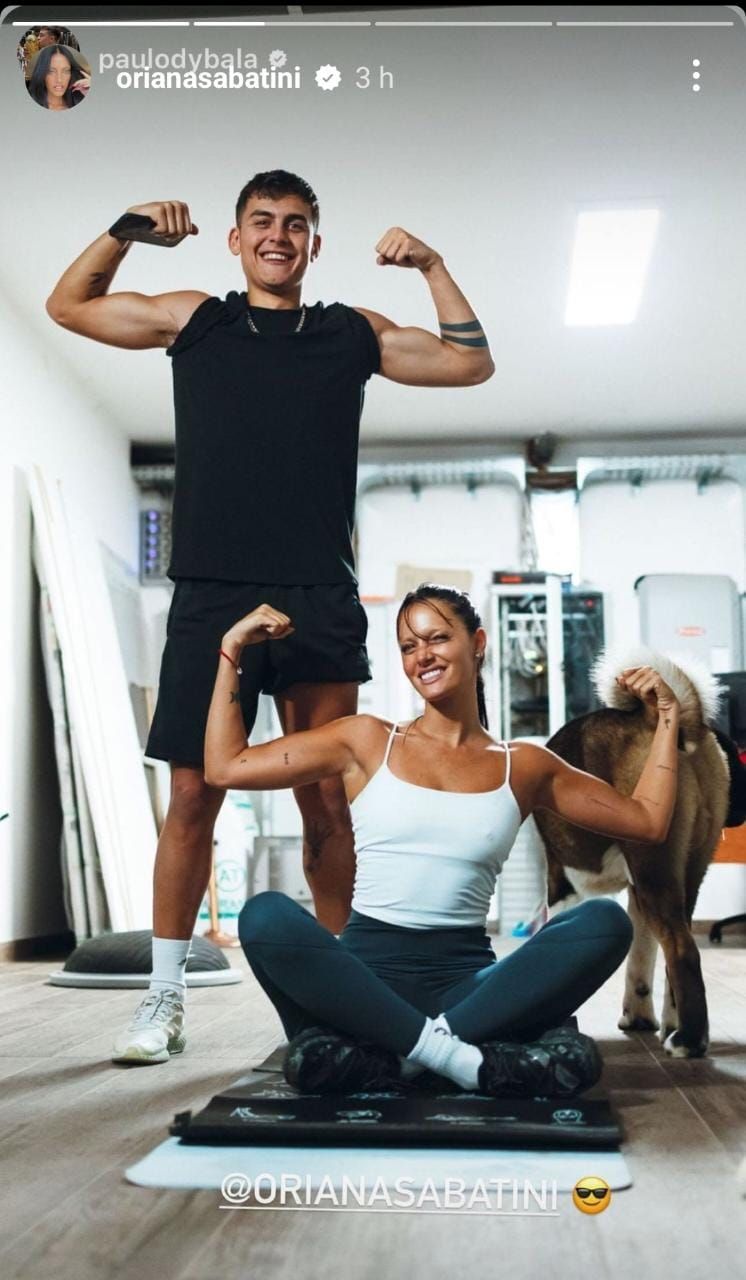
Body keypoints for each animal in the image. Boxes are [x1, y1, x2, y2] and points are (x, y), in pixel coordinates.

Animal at [534, 650, 742, 1059]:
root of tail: (654, 718)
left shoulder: (562, 884)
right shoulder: (634, 893)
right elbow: (640, 958)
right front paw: (638, 1017)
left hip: (653, 874)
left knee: (681, 948)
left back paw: (689, 1041)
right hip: (681, 877)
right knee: (675, 951)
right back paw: (677, 1028)